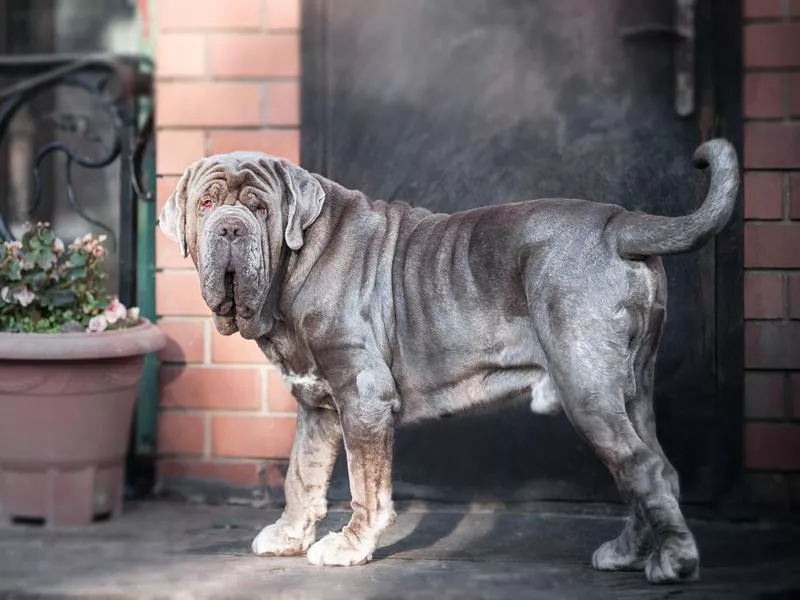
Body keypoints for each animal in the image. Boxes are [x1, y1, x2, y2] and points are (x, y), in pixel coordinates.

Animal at [159, 138, 740, 584]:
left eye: (259, 209)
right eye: (206, 205)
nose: (230, 229)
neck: (294, 265)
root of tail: (618, 223)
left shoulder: (362, 395)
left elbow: (365, 484)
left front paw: (350, 544)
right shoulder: (318, 404)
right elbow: (301, 474)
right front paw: (287, 535)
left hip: (587, 389)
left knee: (643, 466)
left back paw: (673, 561)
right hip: (632, 390)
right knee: (652, 466)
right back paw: (628, 552)